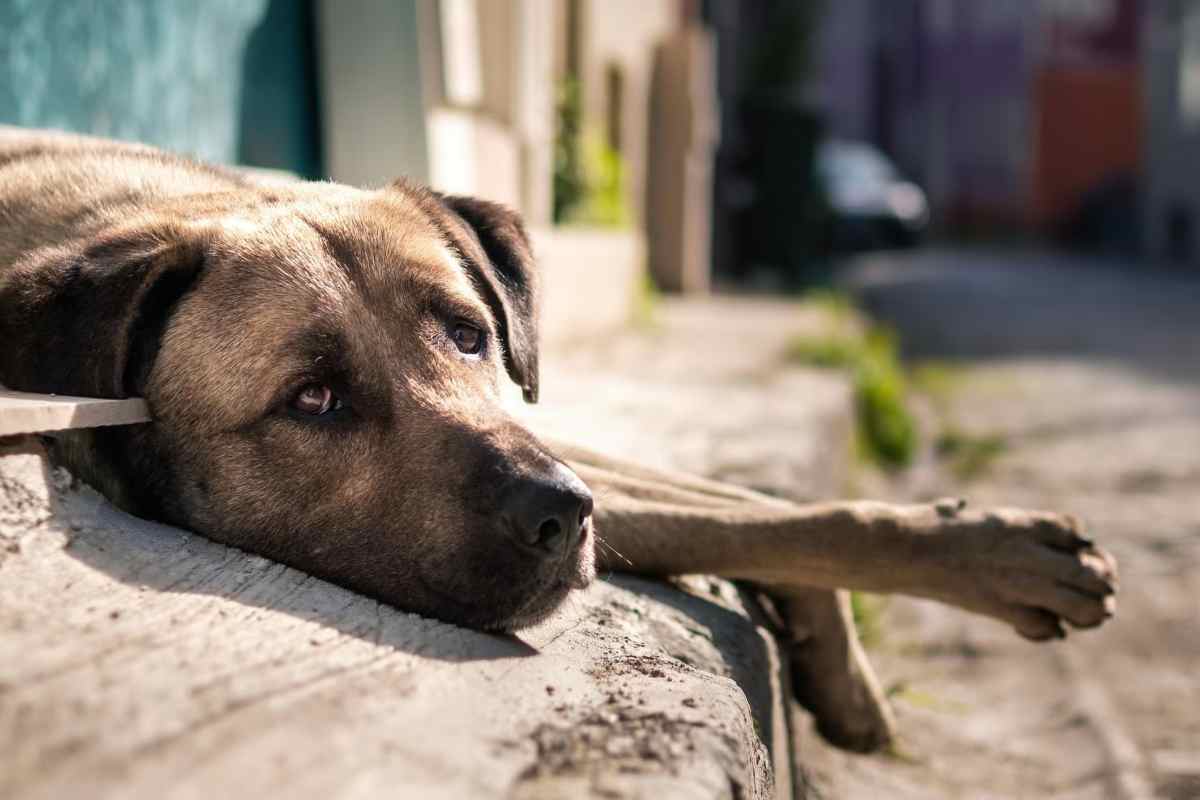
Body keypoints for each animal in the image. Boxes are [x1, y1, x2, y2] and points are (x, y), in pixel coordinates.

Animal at [0, 128, 1113, 753]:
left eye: (469, 333)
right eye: (312, 398)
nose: (561, 514)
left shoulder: (543, 426)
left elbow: (760, 507)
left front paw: (959, 567)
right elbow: (740, 515)